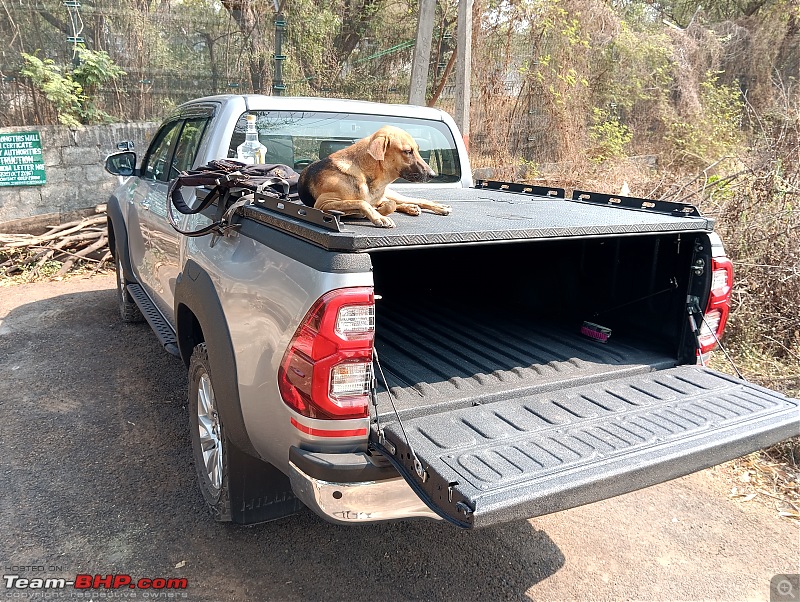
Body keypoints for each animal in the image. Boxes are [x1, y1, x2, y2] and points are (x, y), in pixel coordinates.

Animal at [298, 126, 454, 227]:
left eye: (416, 150)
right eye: (407, 151)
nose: (433, 174)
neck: (364, 174)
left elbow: (387, 205)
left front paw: (378, 212)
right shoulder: (322, 203)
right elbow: (362, 202)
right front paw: (378, 215)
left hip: (394, 194)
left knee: (416, 200)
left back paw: (438, 207)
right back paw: (410, 207)